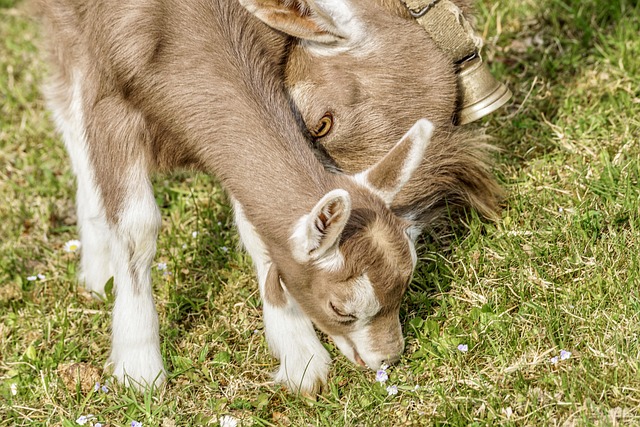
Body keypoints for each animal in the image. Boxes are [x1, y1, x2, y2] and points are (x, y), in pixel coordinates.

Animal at [38, 0, 436, 394]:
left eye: (405, 283)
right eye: (341, 309)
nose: (387, 358)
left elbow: (255, 226)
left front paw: (299, 356)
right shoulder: (109, 88)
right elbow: (137, 227)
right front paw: (138, 368)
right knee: (66, 106)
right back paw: (98, 265)